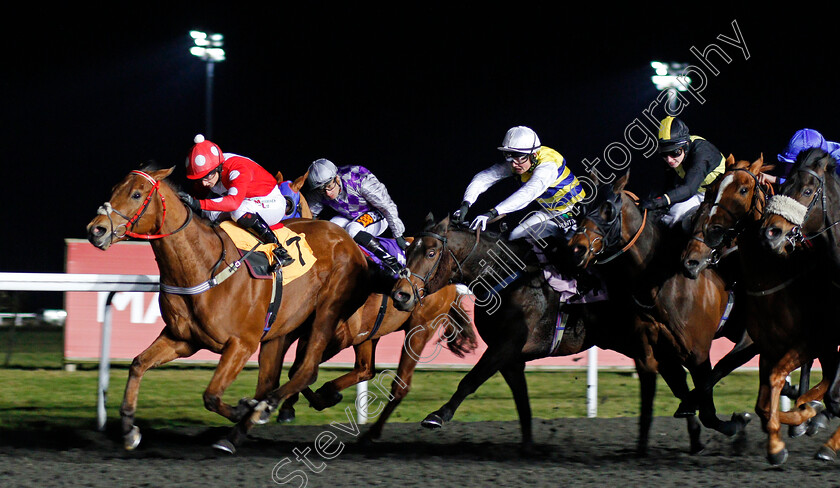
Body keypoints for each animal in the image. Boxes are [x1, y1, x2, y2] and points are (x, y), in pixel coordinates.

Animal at [86, 163, 370, 450]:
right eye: (114, 189)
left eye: (136, 194)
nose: (96, 230)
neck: (203, 265)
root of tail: (346, 238)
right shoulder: (182, 339)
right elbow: (138, 364)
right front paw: (128, 428)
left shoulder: (241, 344)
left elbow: (211, 395)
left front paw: (244, 409)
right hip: (284, 329)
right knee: (281, 377)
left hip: (327, 312)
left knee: (306, 370)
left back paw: (263, 410)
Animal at [390, 213, 704, 454]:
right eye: (408, 251)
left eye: (431, 252)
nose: (401, 295)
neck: (503, 276)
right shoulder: (512, 359)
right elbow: (522, 402)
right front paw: (528, 446)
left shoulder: (505, 346)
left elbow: (470, 380)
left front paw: (437, 416)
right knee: (676, 377)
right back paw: (696, 434)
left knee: (669, 376)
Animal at [568, 171, 752, 438]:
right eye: (581, 207)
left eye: (608, 209)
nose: (576, 249)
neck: (662, 285)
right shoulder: (652, 353)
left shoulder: (697, 353)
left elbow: (706, 407)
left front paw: (737, 420)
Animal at [704, 154, 840, 464]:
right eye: (713, 188)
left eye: (743, 190)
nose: (712, 232)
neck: (773, 277)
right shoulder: (768, 347)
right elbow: (763, 406)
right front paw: (792, 425)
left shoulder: (809, 341)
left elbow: (781, 383)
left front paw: (791, 430)